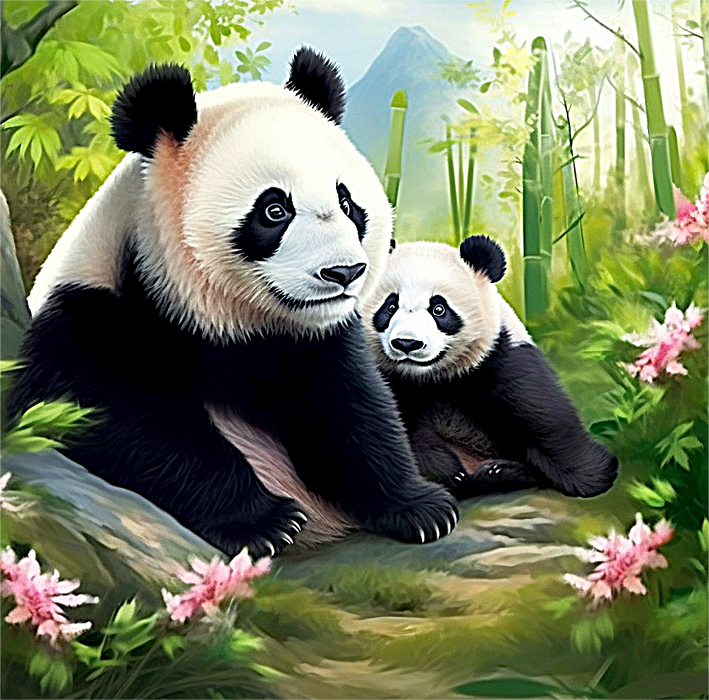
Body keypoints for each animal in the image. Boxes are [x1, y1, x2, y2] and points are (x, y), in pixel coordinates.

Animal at [8, 49, 460, 558]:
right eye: (274, 210)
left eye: (347, 204)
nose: (344, 273)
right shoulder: (90, 318)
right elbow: (124, 422)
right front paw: (266, 521)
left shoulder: (309, 341)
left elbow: (353, 411)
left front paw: (420, 508)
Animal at [363, 235, 618, 499]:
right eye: (390, 307)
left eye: (438, 309)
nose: (407, 343)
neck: (430, 377)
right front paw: (444, 473)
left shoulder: (500, 358)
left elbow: (543, 416)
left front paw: (591, 475)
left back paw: (500, 471)